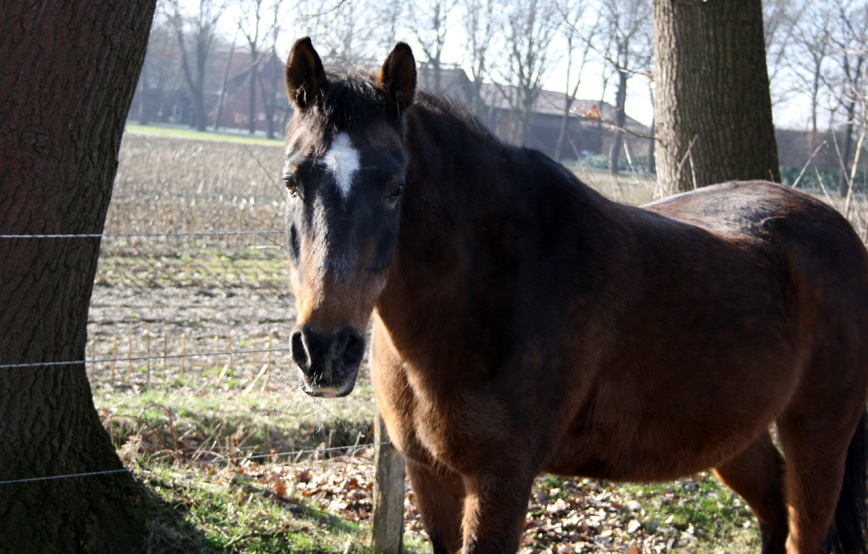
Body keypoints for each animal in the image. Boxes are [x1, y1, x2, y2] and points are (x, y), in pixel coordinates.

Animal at [280, 37, 868, 554]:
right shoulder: (431, 476)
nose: (325, 351)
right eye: (292, 180)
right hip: (736, 435)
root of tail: (843, 233)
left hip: (818, 431)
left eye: (396, 187)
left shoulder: (501, 479)